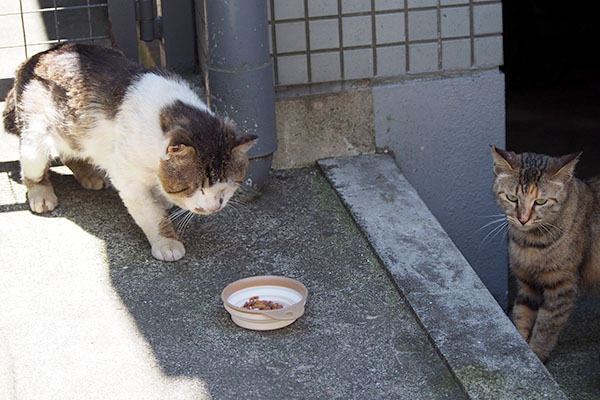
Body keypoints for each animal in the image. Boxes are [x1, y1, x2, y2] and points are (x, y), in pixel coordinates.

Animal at [2, 43, 256, 262]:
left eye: (227, 186)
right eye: (194, 188)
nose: (215, 207)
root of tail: (36, 56)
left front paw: (162, 200)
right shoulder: (128, 179)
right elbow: (152, 215)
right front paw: (166, 242)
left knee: (69, 153)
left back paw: (90, 177)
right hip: (35, 139)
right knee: (33, 168)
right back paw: (41, 195)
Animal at [492, 146, 600, 362]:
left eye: (540, 201)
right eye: (512, 198)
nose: (523, 219)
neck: (530, 244)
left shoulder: (562, 286)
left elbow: (546, 324)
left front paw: (536, 352)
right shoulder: (526, 283)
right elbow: (522, 314)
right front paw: (524, 348)